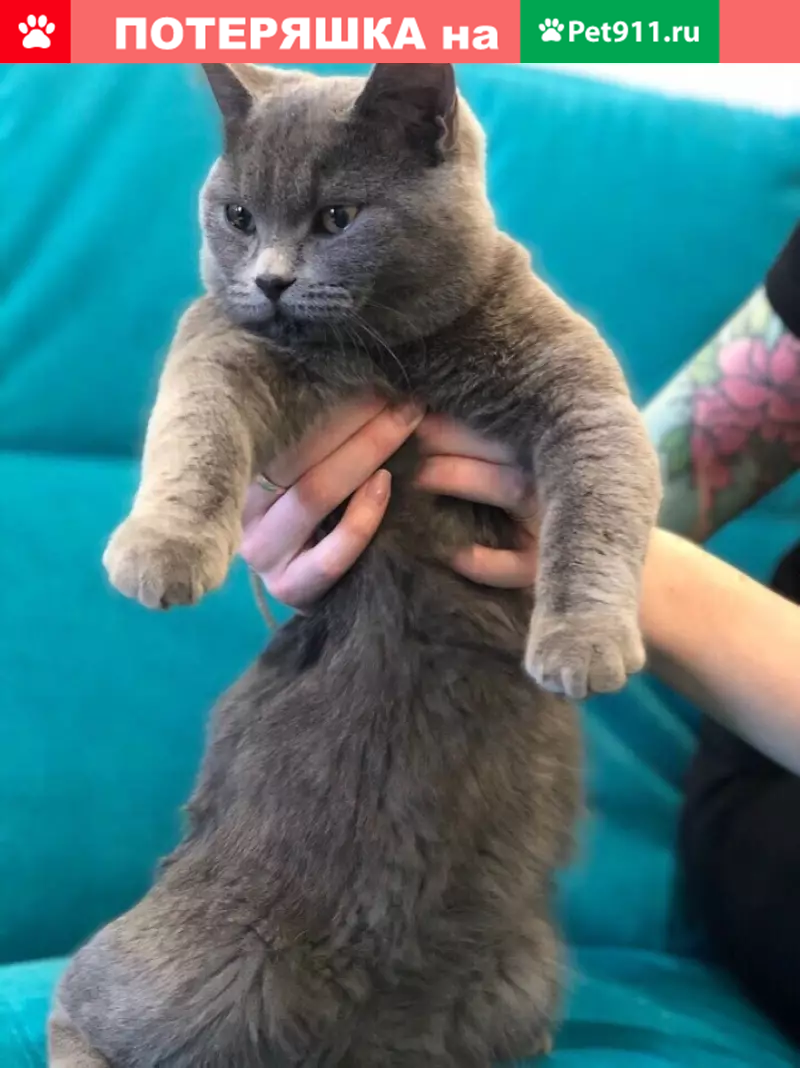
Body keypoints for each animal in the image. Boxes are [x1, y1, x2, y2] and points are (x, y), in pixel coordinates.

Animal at [49, 63, 661, 1068]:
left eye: (338, 217)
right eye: (238, 215)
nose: (270, 280)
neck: (396, 355)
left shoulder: (582, 395)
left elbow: (603, 502)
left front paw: (582, 641)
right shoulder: (220, 338)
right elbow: (193, 426)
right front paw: (162, 547)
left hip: (521, 975)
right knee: (74, 1016)